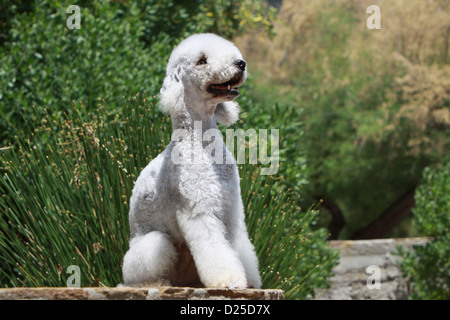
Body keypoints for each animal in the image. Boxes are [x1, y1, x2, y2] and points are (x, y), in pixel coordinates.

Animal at [121, 33, 262, 288]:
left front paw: (250, 282)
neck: (203, 145)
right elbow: (214, 249)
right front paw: (230, 280)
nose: (241, 63)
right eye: (201, 61)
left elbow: (240, 245)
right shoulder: (199, 210)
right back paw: (157, 283)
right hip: (153, 243)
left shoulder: (232, 210)